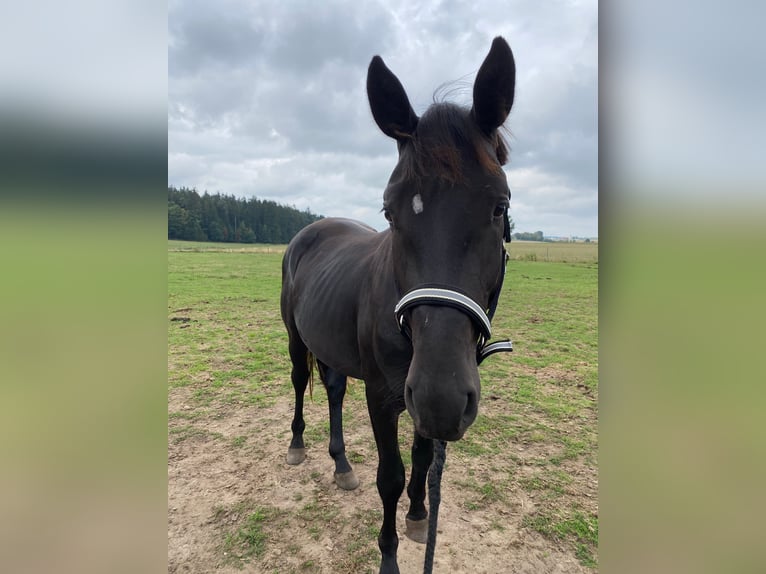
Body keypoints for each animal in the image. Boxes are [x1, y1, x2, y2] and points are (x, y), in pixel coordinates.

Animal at [280, 37, 516, 574]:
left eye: (500, 206)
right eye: (389, 209)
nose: (439, 394)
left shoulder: (427, 398)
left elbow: (425, 460)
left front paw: (418, 516)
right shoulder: (386, 396)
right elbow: (390, 475)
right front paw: (389, 555)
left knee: (333, 389)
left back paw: (341, 463)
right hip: (296, 337)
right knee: (302, 382)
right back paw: (299, 445)